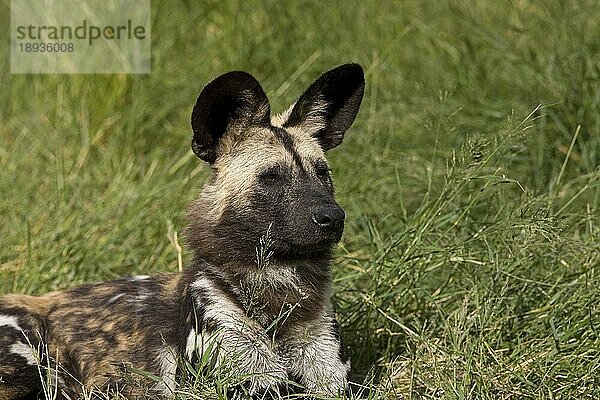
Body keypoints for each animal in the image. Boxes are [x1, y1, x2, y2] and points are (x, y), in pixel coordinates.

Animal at [0, 64, 366, 398]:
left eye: (322, 173)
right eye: (271, 177)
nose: (333, 217)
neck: (277, 293)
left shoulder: (331, 384)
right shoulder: (242, 384)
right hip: (33, 367)